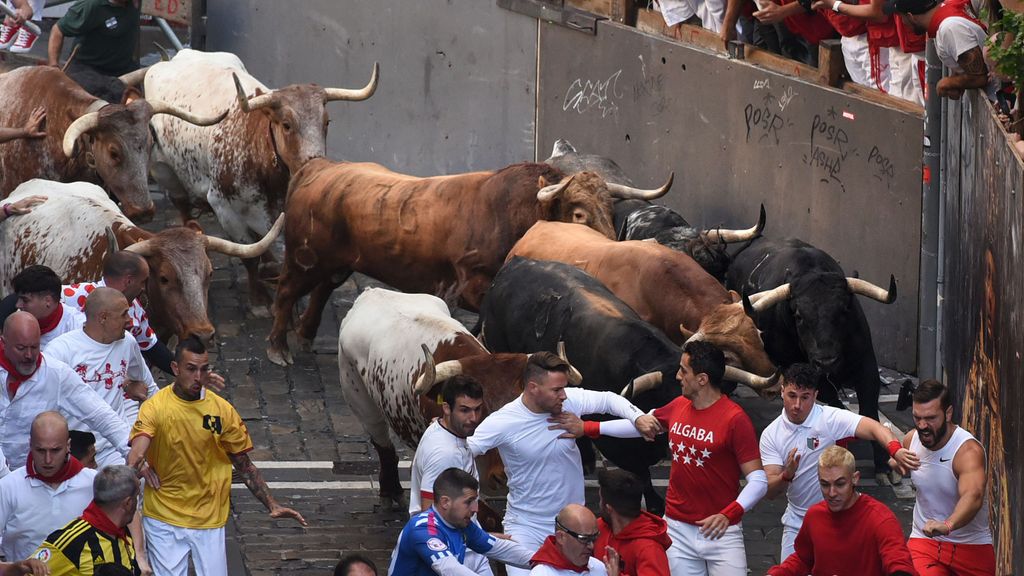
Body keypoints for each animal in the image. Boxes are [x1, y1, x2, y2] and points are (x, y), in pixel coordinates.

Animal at [266, 156, 671, 362]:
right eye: (578, 213)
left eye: (611, 211)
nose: (608, 248)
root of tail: (319, 166)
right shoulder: (470, 283)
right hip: (304, 257)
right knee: (286, 291)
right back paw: (278, 348)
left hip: (335, 261)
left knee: (321, 290)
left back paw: (304, 337)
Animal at [729, 235, 897, 473]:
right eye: (799, 315)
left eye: (844, 310)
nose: (826, 361)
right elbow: (834, 404)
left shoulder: (867, 366)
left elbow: (869, 410)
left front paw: (884, 466)